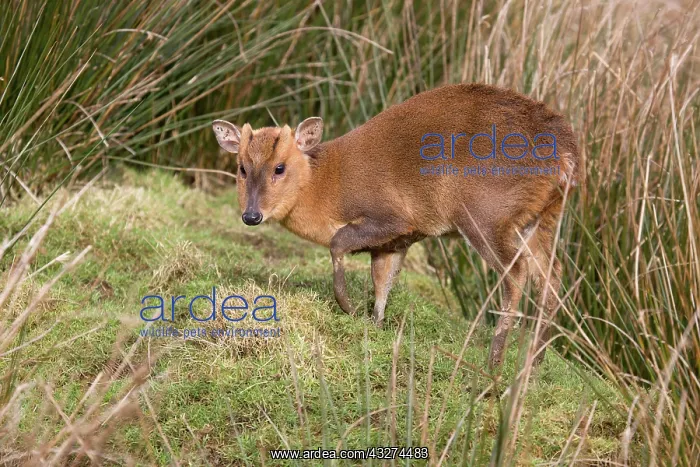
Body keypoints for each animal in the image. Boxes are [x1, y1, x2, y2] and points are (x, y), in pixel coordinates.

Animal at [212, 83, 579, 368]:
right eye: (242, 168)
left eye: (279, 167)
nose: (251, 215)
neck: (325, 185)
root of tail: (565, 154)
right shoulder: (397, 240)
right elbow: (382, 283)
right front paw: (375, 325)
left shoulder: (392, 217)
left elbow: (339, 243)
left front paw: (348, 308)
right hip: (541, 218)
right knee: (551, 274)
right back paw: (536, 358)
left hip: (486, 215)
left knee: (516, 273)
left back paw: (495, 359)